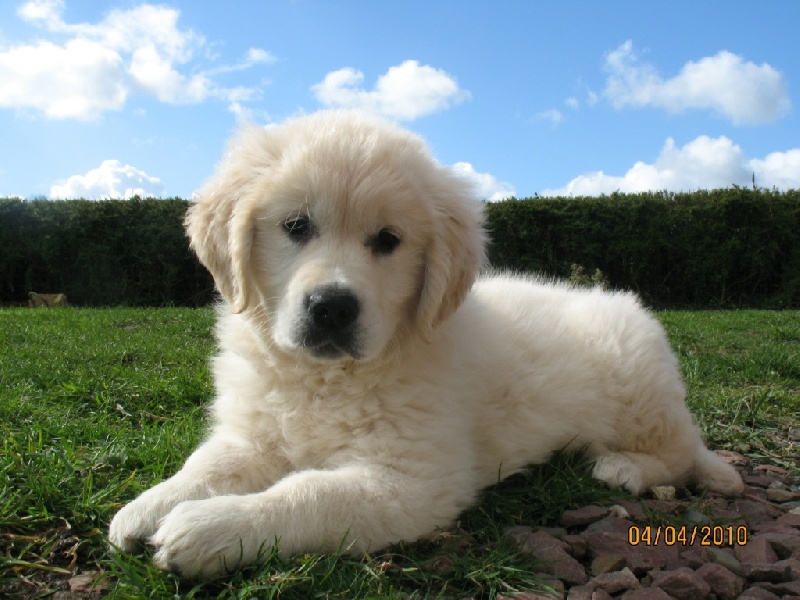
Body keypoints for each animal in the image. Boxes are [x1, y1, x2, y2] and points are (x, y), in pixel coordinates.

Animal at [108, 110, 744, 580]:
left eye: (387, 240)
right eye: (295, 226)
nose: (332, 307)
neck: (325, 378)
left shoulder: (413, 479)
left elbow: (309, 492)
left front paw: (209, 528)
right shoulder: (254, 431)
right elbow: (209, 462)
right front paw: (149, 506)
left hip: (641, 390)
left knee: (680, 454)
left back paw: (624, 468)